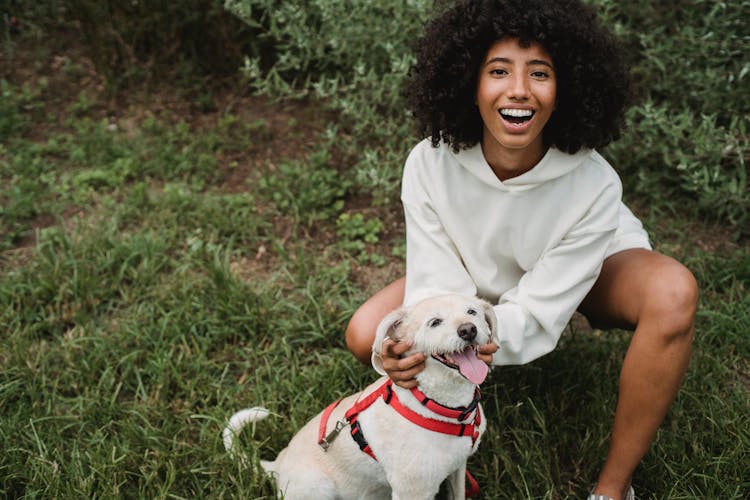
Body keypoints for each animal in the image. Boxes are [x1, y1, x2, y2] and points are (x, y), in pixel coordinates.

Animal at [223, 294, 500, 498]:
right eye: (434, 322)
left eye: (472, 312)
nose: (468, 330)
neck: (445, 407)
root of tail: (277, 466)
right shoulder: (413, 491)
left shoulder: (458, 468)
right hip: (318, 487)